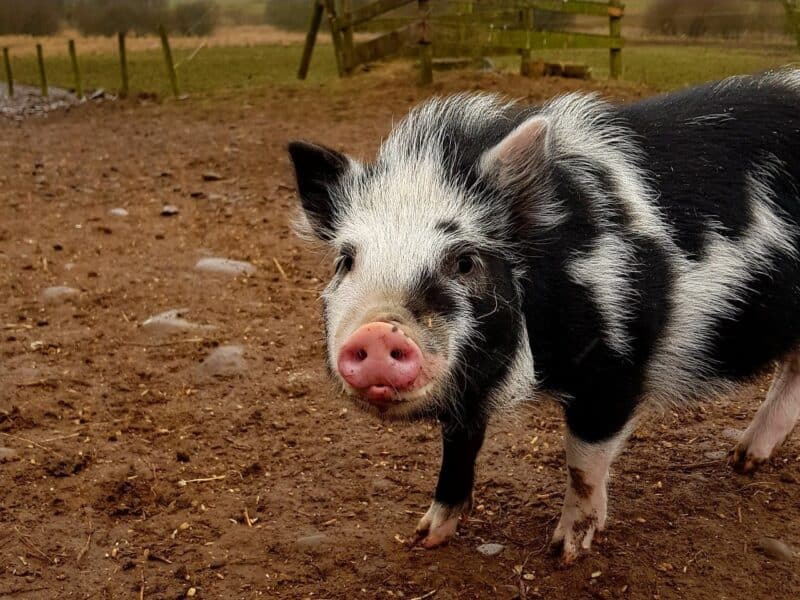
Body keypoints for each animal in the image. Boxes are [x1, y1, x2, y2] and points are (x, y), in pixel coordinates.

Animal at [286, 70, 800, 564]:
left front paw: (564, 552)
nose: (378, 331)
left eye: (465, 262)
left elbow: (582, 462)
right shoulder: (469, 385)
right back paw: (743, 460)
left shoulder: (616, 367)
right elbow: (457, 449)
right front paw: (425, 536)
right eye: (346, 261)